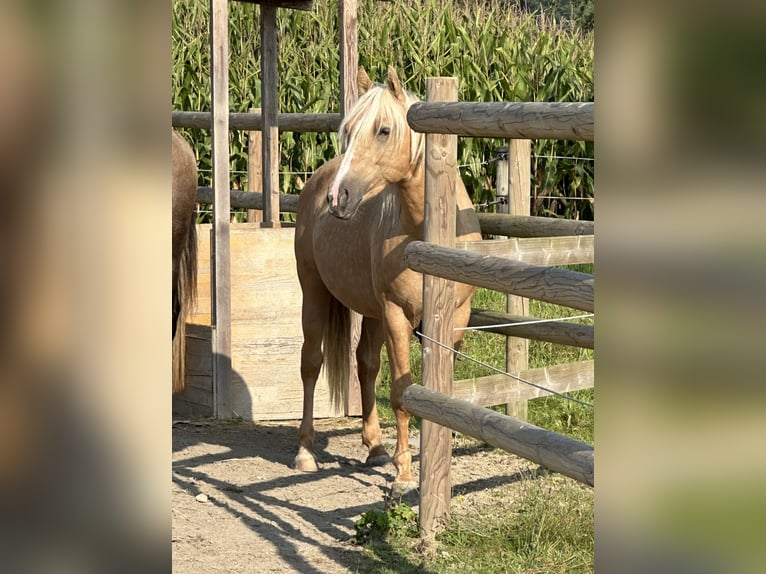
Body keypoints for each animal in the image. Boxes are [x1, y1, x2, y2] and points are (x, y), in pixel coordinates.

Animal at [294, 66, 480, 490]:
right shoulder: (397, 315)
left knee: (365, 363)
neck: (422, 231)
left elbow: (437, 390)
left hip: (372, 310)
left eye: (383, 130)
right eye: (347, 131)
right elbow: (401, 392)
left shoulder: (455, 318)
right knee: (311, 363)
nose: (337, 198)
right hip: (314, 292)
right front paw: (406, 472)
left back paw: (375, 447)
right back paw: (306, 451)